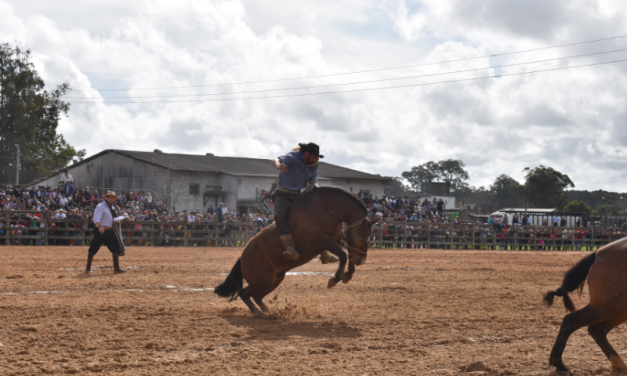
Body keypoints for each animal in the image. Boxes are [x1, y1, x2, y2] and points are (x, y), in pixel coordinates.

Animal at [544, 238, 627, 374]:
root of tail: (598, 253)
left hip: (617, 309)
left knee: (597, 330)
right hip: (606, 307)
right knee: (571, 321)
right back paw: (558, 363)